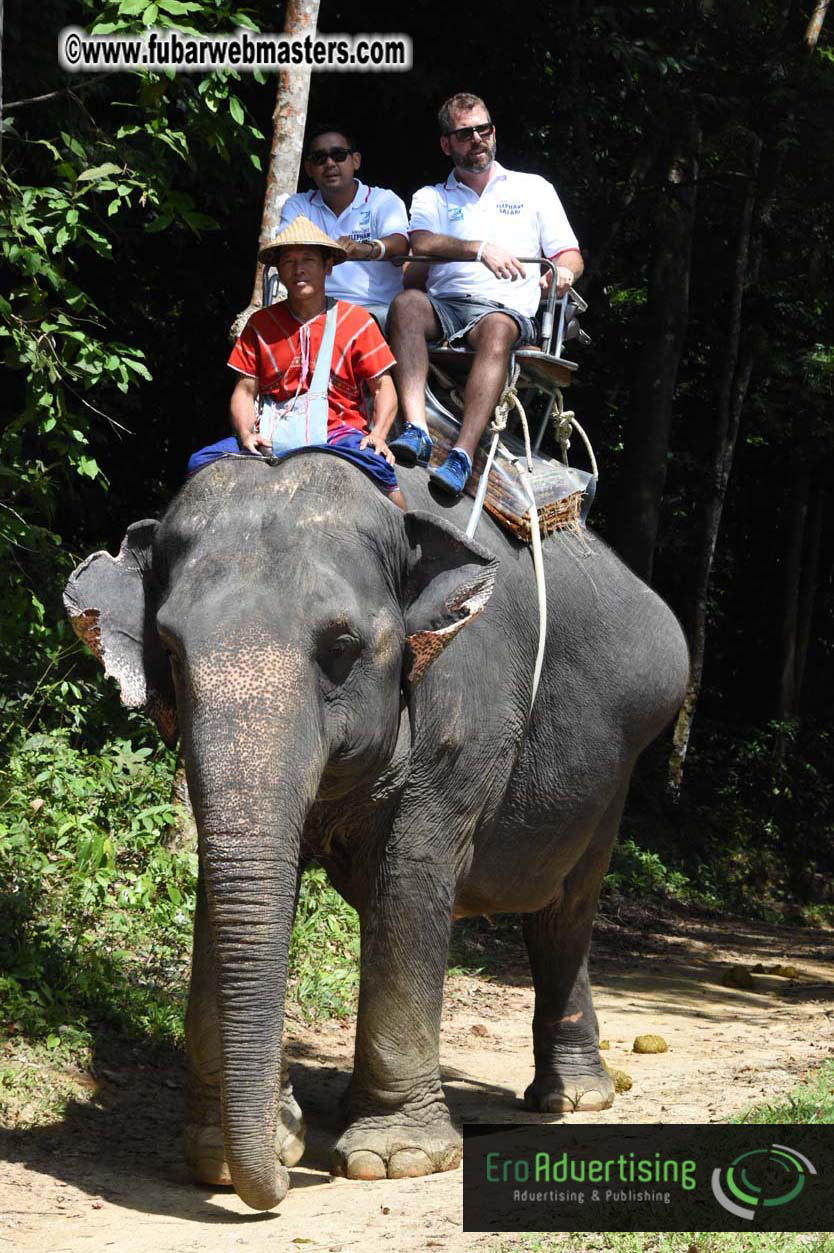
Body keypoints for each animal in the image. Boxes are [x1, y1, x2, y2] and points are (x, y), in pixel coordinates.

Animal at [64, 449, 688, 1212]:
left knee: (563, 911)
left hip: (615, 768)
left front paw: (393, 1160)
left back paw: (573, 1100)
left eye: (341, 646)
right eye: (169, 650)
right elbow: (228, 883)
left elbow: (412, 871)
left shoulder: (467, 711)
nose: (278, 1178)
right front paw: (224, 1156)